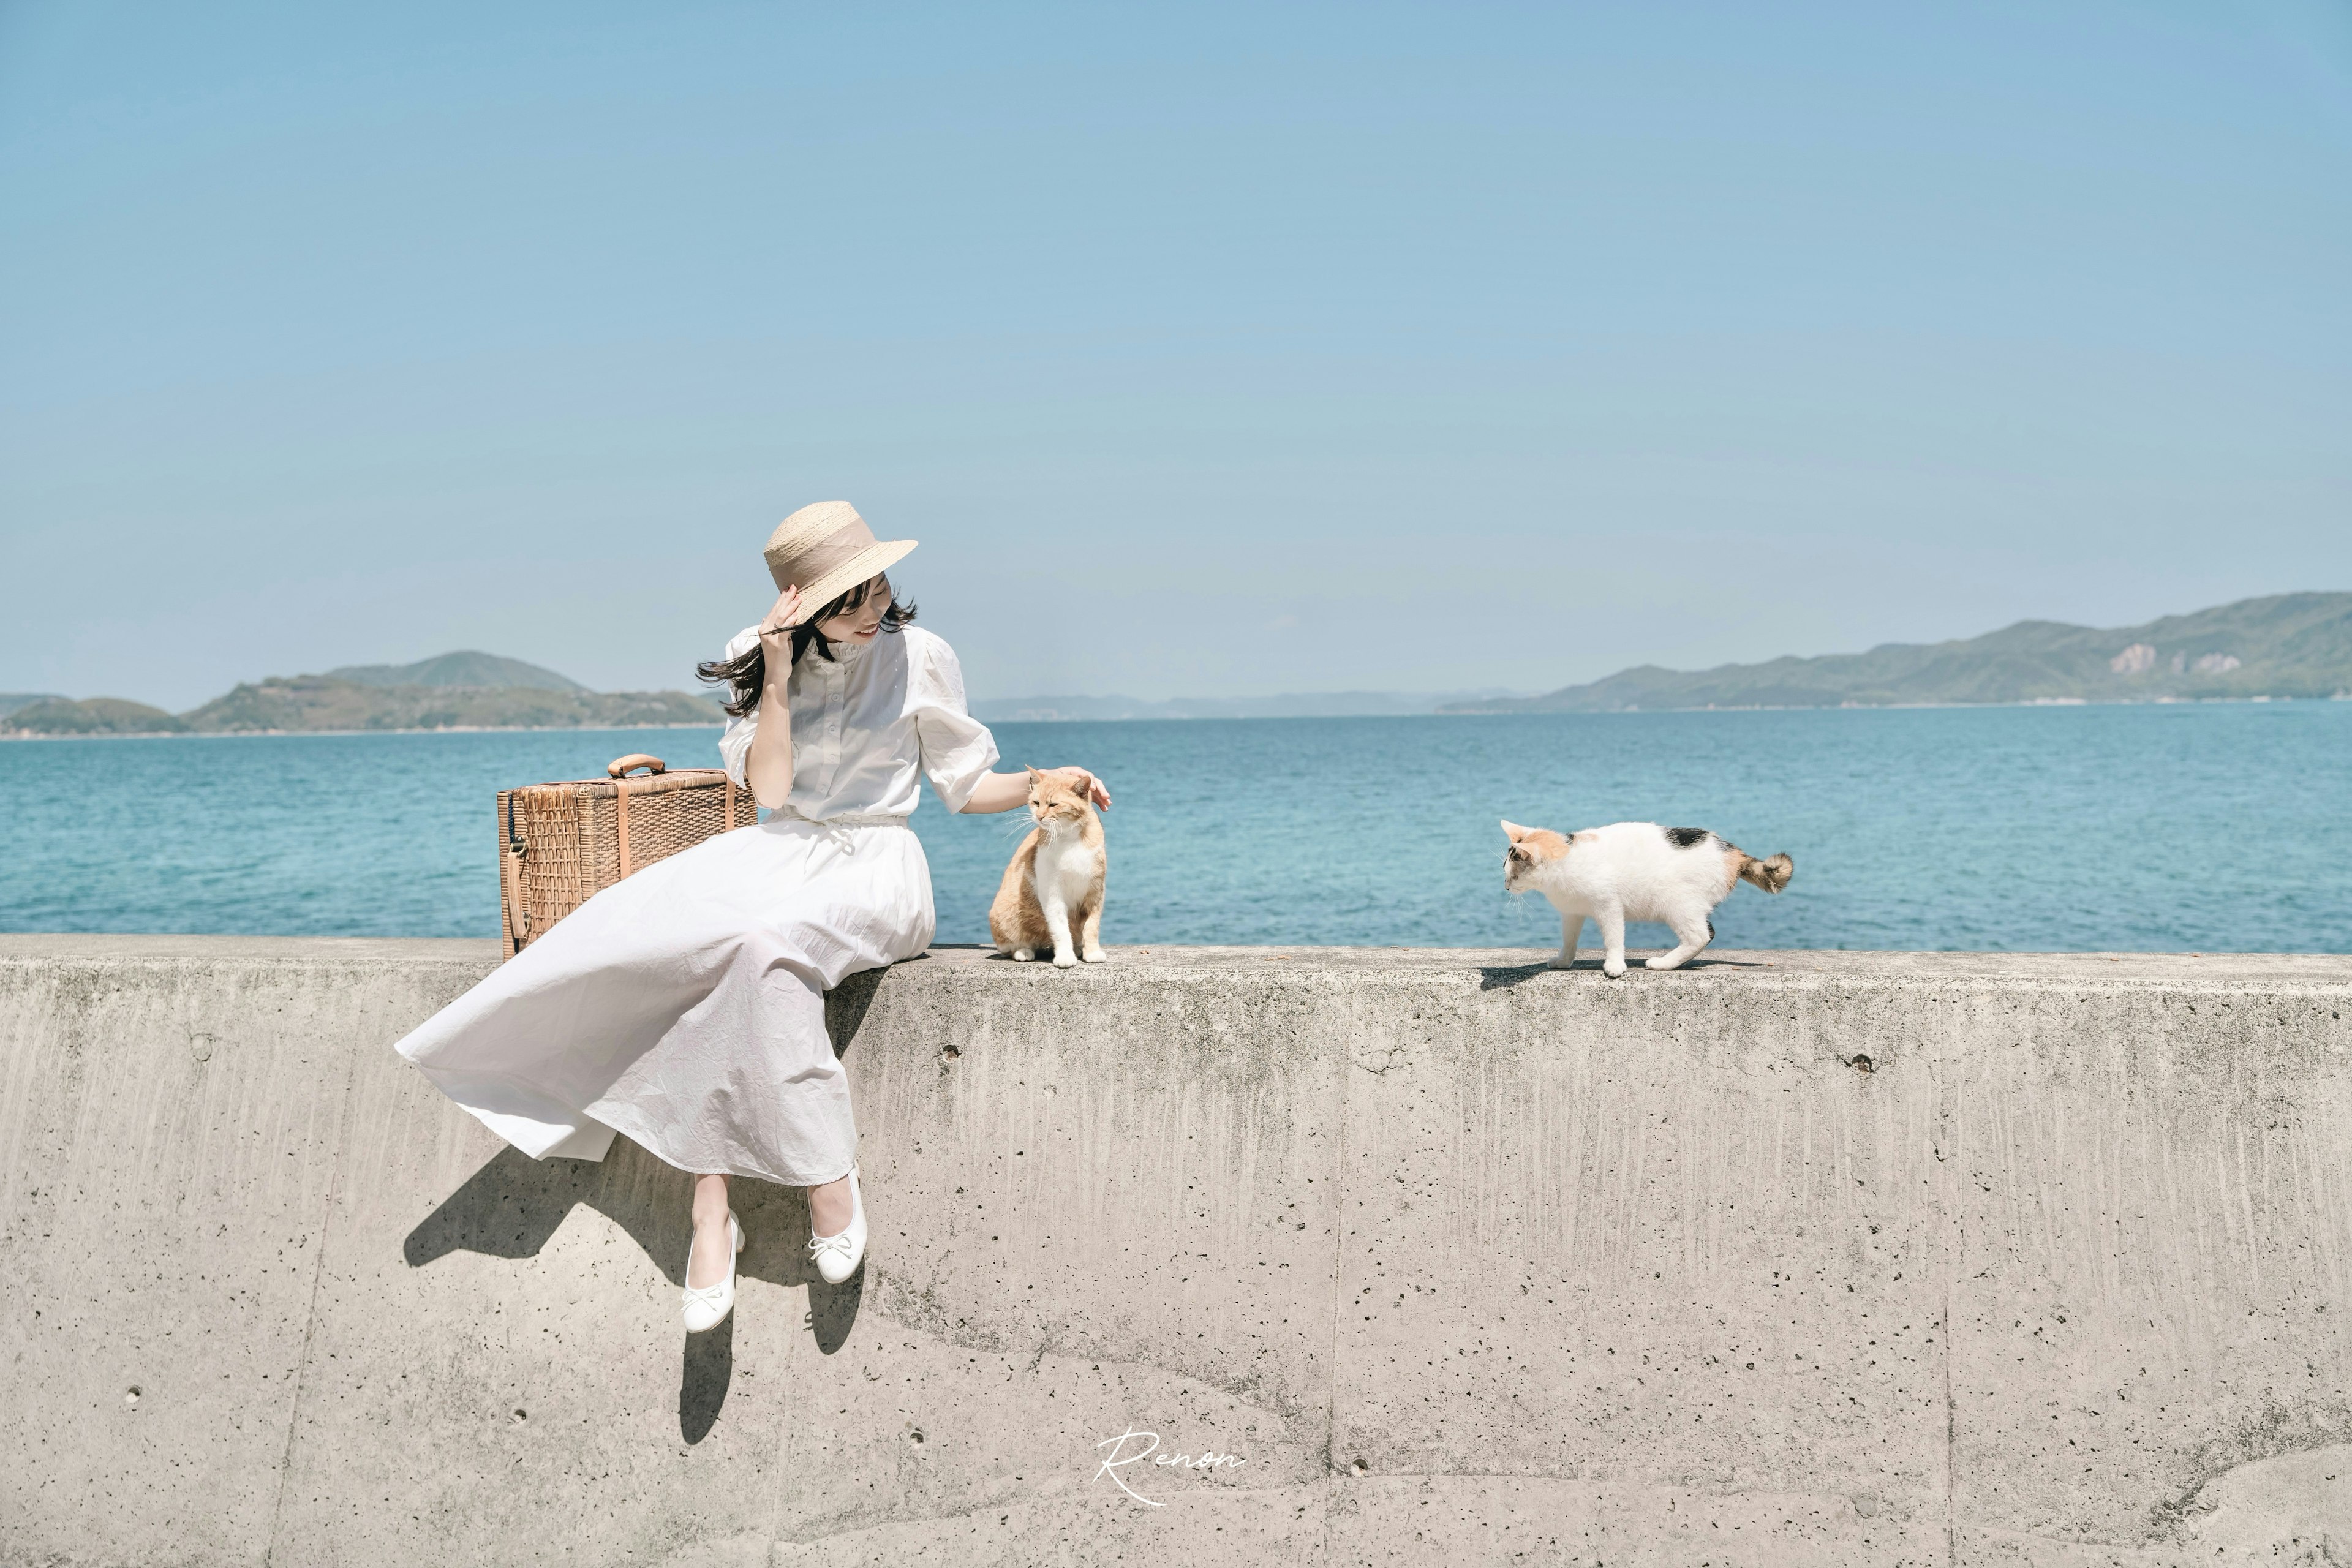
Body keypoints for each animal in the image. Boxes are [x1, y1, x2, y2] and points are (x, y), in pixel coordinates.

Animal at [987, 771, 1105, 968]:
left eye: (1053, 804)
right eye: (1036, 803)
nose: (1039, 817)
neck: (1070, 838)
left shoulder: (1095, 892)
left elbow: (1092, 927)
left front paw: (1092, 952)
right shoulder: (1053, 895)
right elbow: (1060, 929)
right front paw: (1065, 957)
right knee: (1012, 947)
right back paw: (1024, 952)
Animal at [1496, 823, 1787, 982]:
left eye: (1514, 874)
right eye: (1504, 869)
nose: (1506, 886)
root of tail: (1734, 853)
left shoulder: (1609, 906)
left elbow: (1614, 938)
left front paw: (1614, 965)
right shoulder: (1572, 913)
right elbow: (1569, 940)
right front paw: (1563, 961)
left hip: (1677, 903)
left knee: (1701, 935)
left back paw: (1662, 963)